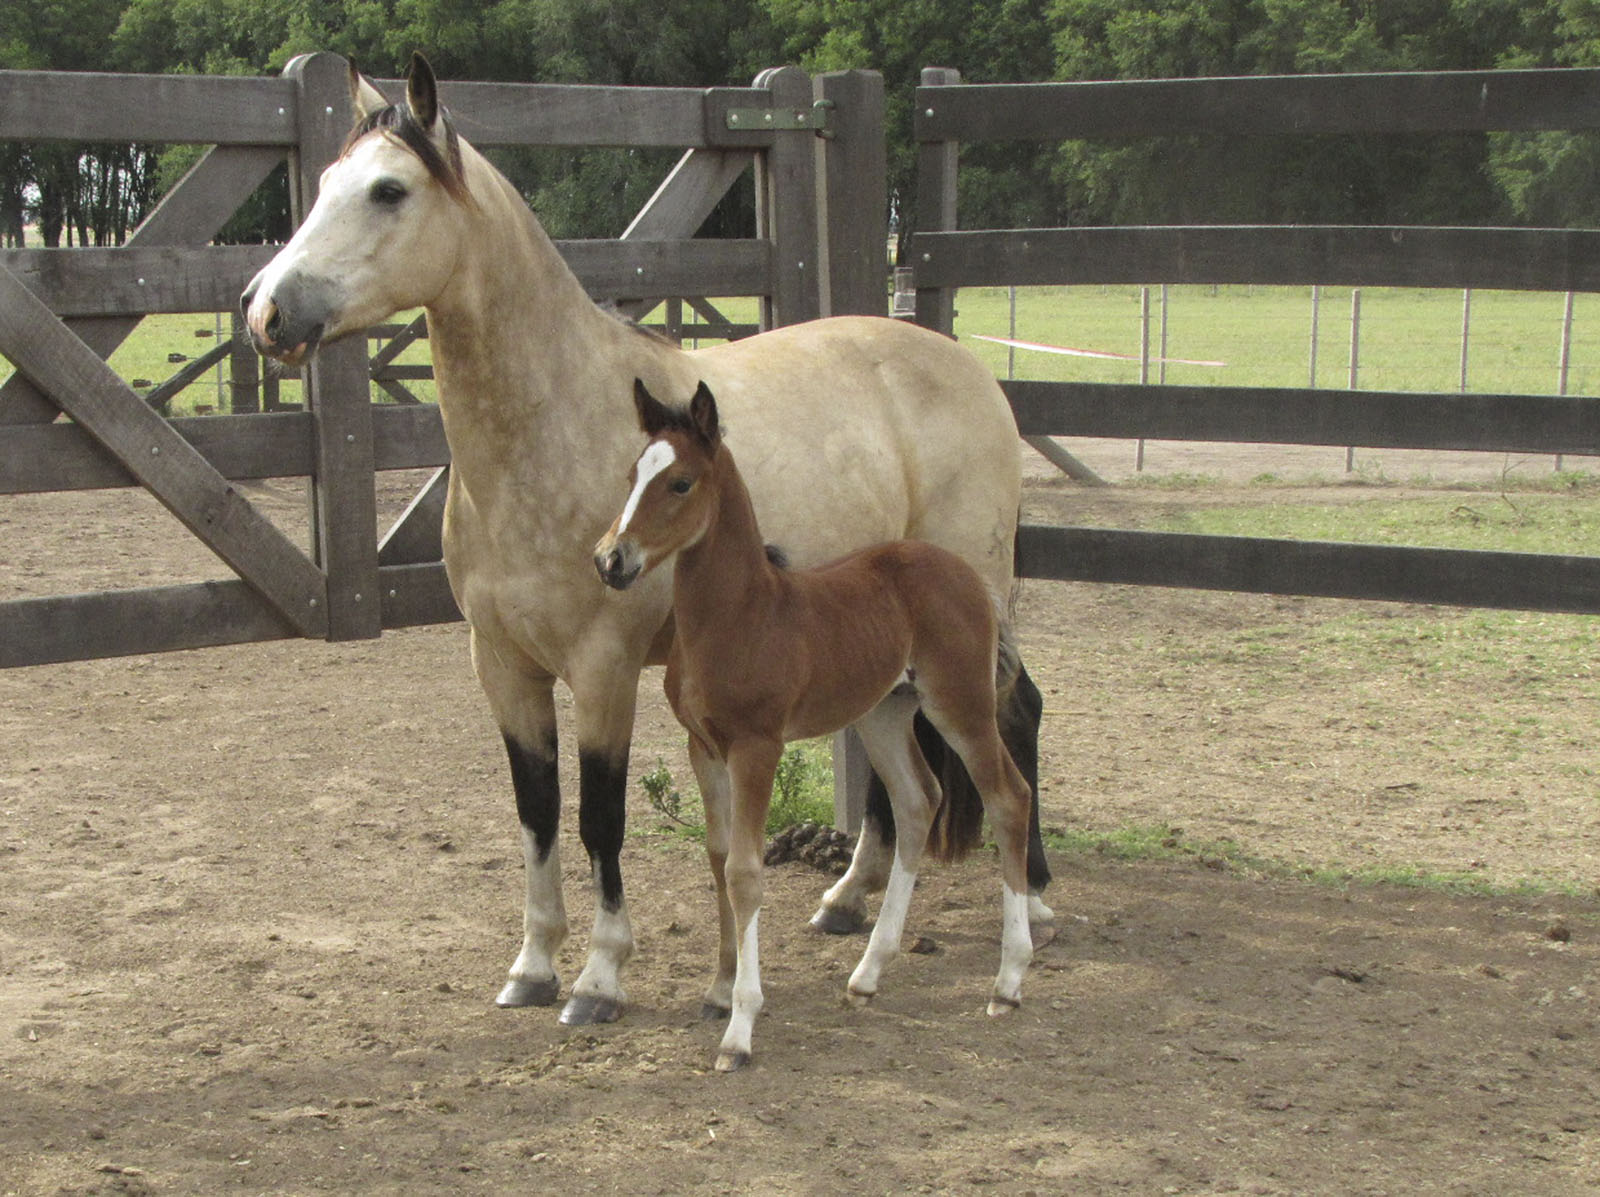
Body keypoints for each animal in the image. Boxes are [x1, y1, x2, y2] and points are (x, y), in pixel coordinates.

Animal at [595, 379, 1035, 1071]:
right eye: (632, 475)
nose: (611, 560)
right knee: (918, 802)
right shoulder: (704, 747)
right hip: (884, 713)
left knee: (1008, 798)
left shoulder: (758, 747)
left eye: (681, 483)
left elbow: (747, 872)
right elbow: (719, 857)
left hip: (960, 704)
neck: (739, 616)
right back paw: (867, 974)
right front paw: (719, 990)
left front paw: (740, 1029)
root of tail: (963, 571)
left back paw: (1008, 982)